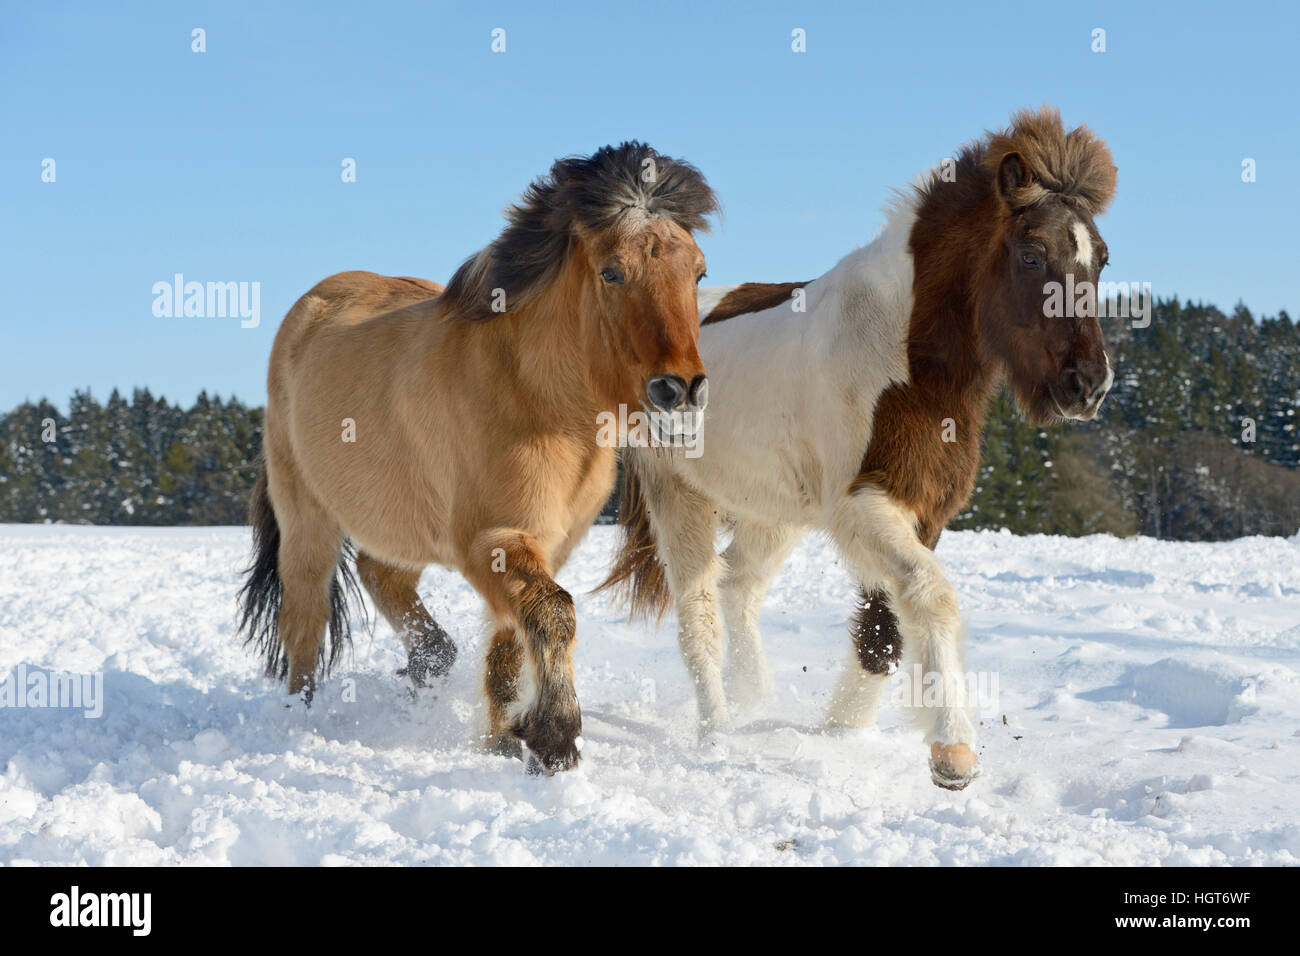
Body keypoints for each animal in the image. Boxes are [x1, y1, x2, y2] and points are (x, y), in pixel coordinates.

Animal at [239, 141, 717, 775]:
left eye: (698, 271)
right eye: (612, 271)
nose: (680, 390)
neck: (537, 398)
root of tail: (312, 308)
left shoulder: (545, 542)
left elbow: (513, 641)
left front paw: (505, 740)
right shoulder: (491, 539)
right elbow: (554, 613)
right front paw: (556, 739)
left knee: (381, 576)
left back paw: (429, 664)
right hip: (307, 520)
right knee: (305, 621)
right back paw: (300, 718)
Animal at [603, 106, 1123, 790]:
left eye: (1102, 259)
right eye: (1033, 253)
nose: (1088, 384)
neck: (902, 359)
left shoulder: (921, 510)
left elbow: (886, 626)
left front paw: (843, 731)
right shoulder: (861, 506)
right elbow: (928, 594)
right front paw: (952, 752)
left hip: (775, 510)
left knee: (739, 586)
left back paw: (756, 698)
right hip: (680, 496)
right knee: (699, 611)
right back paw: (719, 732)